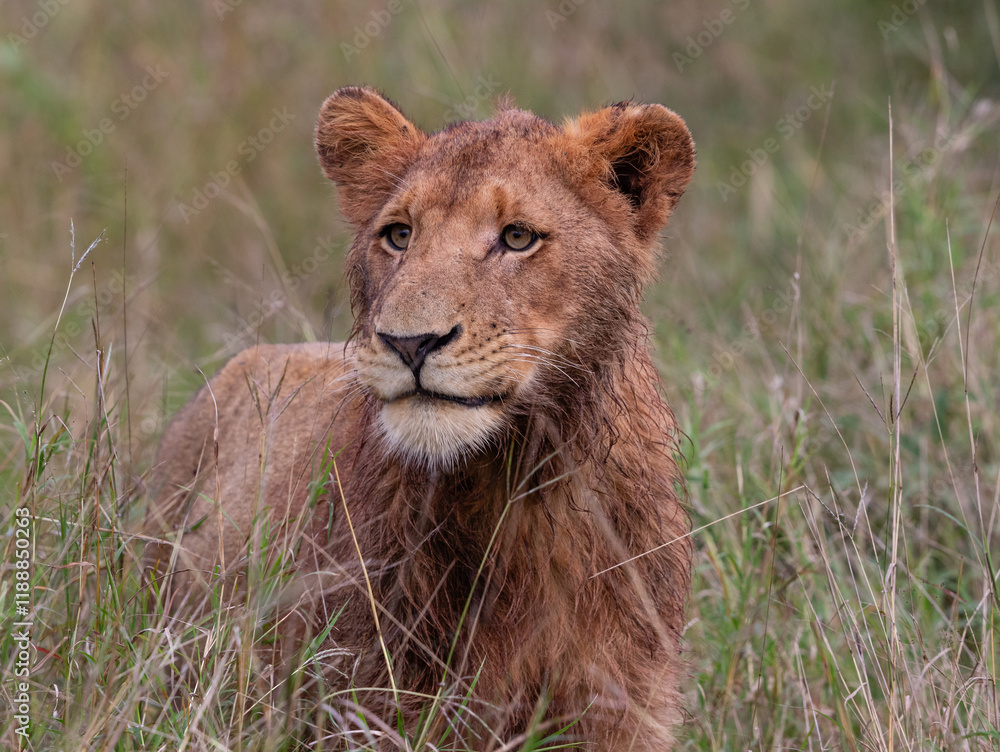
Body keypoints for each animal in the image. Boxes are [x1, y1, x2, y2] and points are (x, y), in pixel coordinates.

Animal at [144, 86, 695, 750]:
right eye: (399, 235)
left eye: (517, 237)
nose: (410, 343)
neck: (520, 488)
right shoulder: (371, 700)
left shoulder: (618, 707)